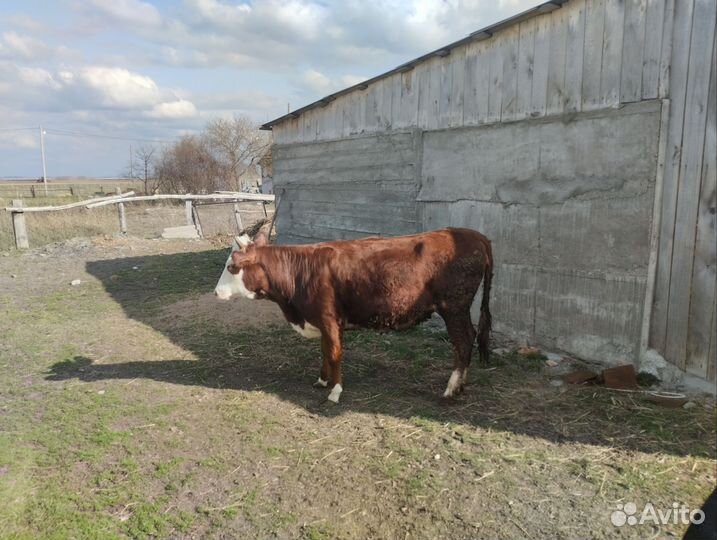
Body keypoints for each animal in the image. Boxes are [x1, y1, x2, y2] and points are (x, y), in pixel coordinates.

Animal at [214, 227, 493, 403]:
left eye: (231, 267)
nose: (216, 292)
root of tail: (474, 234)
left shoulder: (329, 319)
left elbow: (335, 353)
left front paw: (335, 391)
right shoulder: (322, 321)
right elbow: (325, 351)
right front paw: (322, 380)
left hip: (454, 307)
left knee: (463, 341)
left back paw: (451, 388)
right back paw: (461, 385)